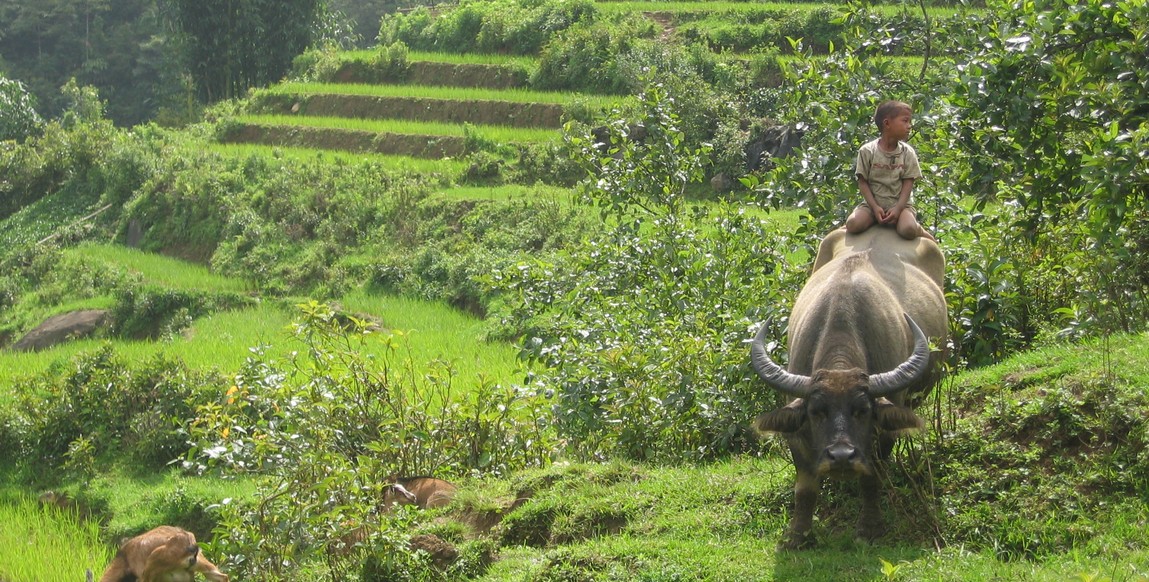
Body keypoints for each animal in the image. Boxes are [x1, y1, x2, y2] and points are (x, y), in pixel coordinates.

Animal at [749, 227, 946, 551]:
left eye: (862, 411)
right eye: (817, 412)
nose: (841, 456)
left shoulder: (884, 427)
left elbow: (872, 476)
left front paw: (869, 528)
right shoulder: (797, 428)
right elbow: (805, 486)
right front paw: (798, 535)